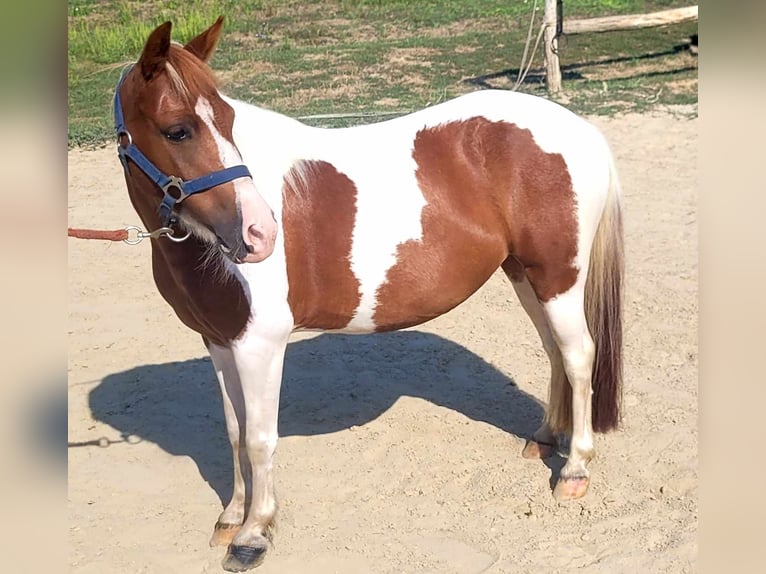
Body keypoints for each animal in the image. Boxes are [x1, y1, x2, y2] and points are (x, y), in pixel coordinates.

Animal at [117, 15, 624, 572]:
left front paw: (254, 534)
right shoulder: (220, 340)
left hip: (558, 276)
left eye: (228, 121)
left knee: (578, 355)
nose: (259, 233)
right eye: (177, 129)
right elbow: (233, 432)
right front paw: (231, 518)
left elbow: (259, 438)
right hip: (525, 275)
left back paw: (575, 470)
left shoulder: (260, 345)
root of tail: (581, 131)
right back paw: (544, 439)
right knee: (555, 352)